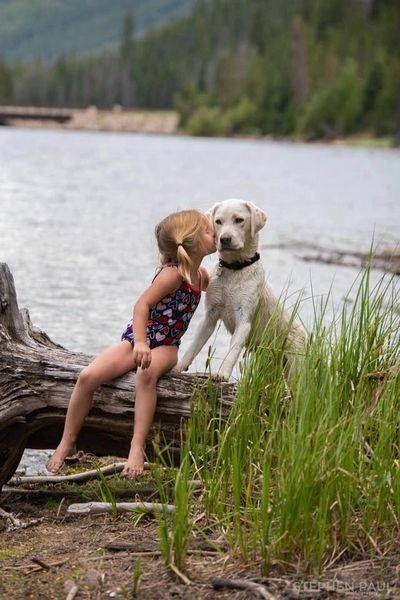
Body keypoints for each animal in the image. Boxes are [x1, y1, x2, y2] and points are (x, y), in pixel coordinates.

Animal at [175, 200, 306, 380]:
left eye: (239, 220)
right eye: (218, 221)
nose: (224, 239)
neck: (235, 269)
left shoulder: (244, 320)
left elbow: (233, 350)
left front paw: (222, 373)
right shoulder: (210, 316)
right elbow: (194, 345)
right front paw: (179, 366)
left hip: (296, 369)